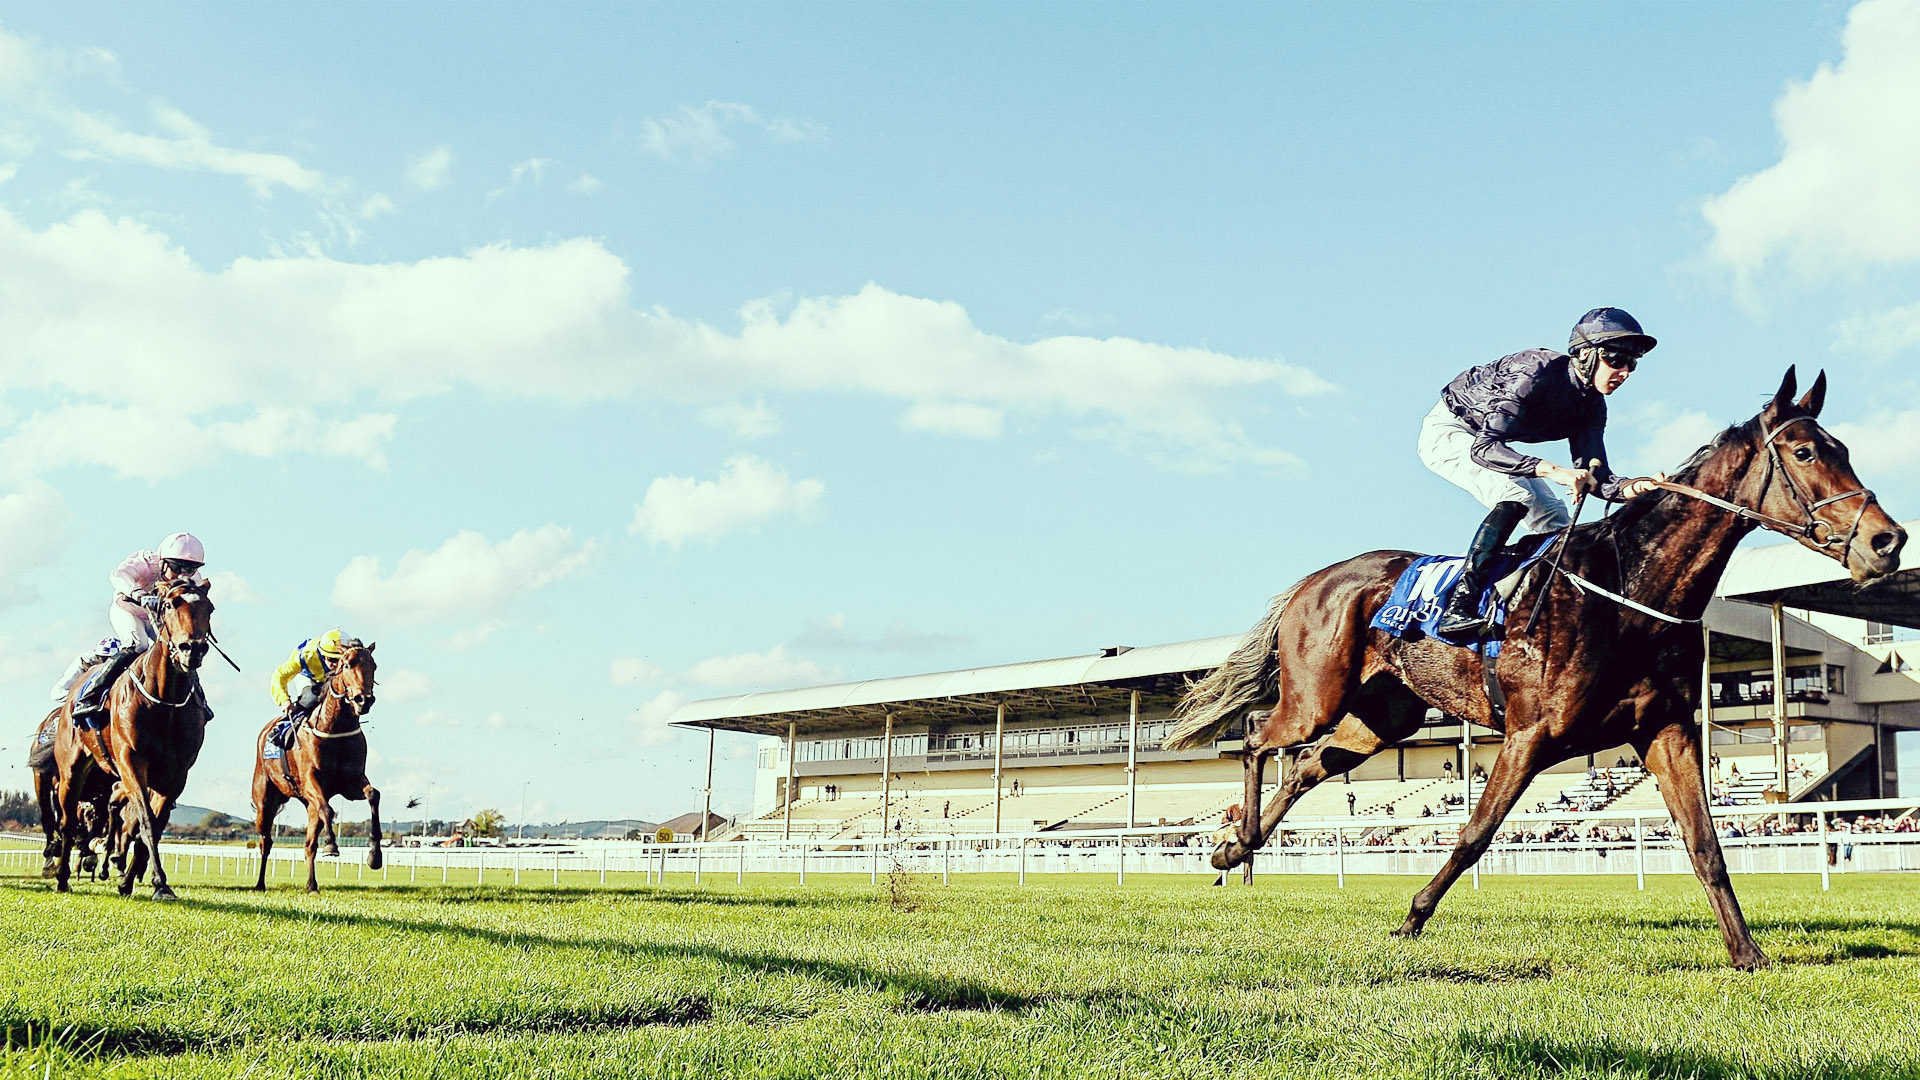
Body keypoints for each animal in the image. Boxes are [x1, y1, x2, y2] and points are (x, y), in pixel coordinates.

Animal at [49, 578, 215, 897]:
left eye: (209, 608)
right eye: (170, 604)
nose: (192, 649)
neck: (165, 700)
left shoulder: (176, 774)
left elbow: (154, 825)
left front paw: (142, 881)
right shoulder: (131, 762)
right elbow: (146, 821)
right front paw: (155, 880)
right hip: (71, 770)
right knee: (67, 822)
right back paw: (63, 877)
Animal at [251, 639, 383, 893]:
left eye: (374, 665)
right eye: (347, 664)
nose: (364, 699)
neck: (335, 727)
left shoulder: (351, 782)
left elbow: (373, 794)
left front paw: (375, 855)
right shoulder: (310, 781)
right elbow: (328, 810)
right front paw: (331, 844)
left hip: (307, 804)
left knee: (308, 845)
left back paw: (312, 884)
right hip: (265, 801)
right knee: (265, 841)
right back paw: (260, 883)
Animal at [1165, 368, 1905, 970]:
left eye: (1843, 448)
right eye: (1806, 451)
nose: (1887, 540)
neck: (1627, 590)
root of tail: (1314, 580)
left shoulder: (1665, 729)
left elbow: (1704, 843)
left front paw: (1746, 952)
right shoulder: (1531, 735)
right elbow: (1473, 834)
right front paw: (1411, 919)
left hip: (1381, 718)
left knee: (1306, 765)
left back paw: (1237, 849)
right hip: (1317, 696)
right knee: (1259, 735)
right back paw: (1236, 843)